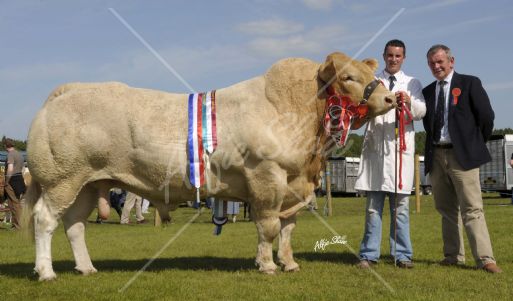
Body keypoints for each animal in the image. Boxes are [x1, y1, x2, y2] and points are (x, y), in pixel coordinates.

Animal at [22, 51, 394, 278]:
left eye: (371, 72)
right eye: (348, 77)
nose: (391, 98)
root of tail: (66, 91)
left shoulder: (295, 187)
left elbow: (288, 229)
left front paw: (289, 263)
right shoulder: (267, 177)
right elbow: (269, 226)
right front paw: (266, 265)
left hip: (87, 183)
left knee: (74, 224)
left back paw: (86, 268)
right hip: (61, 180)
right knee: (45, 220)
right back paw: (46, 272)